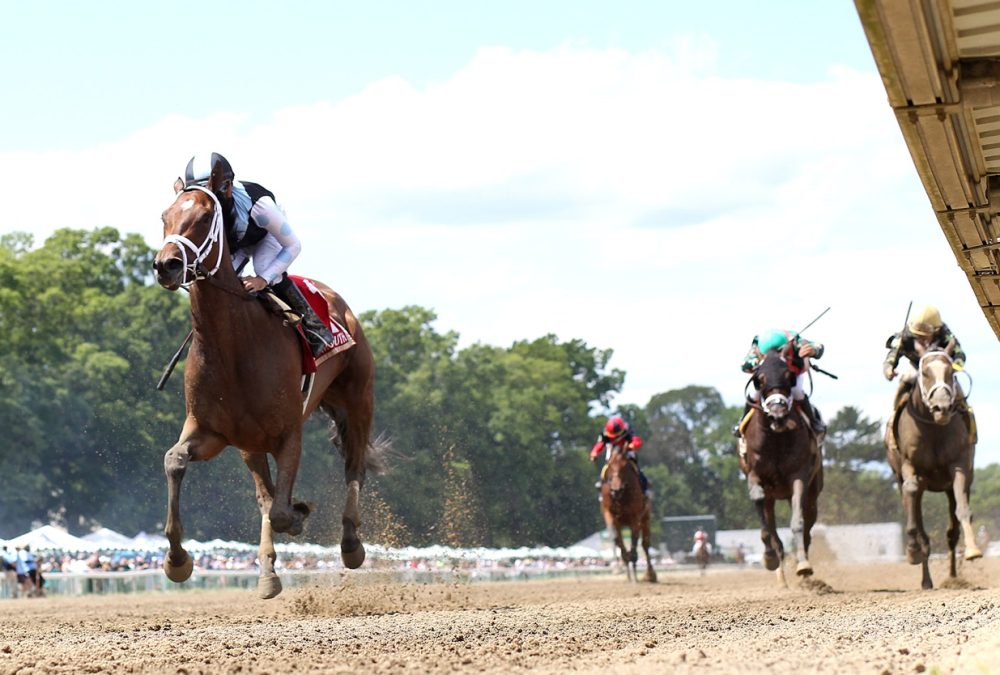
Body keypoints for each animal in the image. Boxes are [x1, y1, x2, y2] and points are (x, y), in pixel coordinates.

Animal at [152, 170, 382, 604]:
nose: (166, 265)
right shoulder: (211, 432)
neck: (234, 346)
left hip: (358, 399)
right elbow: (175, 461)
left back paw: (350, 544)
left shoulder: (288, 433)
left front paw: (297, 516)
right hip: (250, 444)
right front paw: (177, 561)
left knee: (354, 466)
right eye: (165, 216)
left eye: (205, 218)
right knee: (265, 493)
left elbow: (278, 508)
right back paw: (268, 571)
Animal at [600, 446, 656, 584]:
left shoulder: (635, 517)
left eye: (625, 467)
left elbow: (635, 541)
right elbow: (616, 538)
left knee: (645, 544)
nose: (616, 490)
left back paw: (650, 575)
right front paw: (622, 567)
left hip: (646, 517)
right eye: (610, 466)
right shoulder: (610, 514)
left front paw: (635, 572)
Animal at [740, 348, 824, 588]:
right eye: (759, 380)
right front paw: (769, 557)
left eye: (790, 377)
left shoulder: (799, 477)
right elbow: (765, 523)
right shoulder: (755, 474)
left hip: (813, 492)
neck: (775, 440)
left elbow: (798, 522)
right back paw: (781, 576)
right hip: (772, 496)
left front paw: (803, 565)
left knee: (808, 527)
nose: (777, 414)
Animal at [888, 340, 980, 588]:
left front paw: (973, 549)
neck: (933, 428)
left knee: (951, 534)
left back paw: (952, 577)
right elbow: (911, 490)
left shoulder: (959, 466)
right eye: (925, 373)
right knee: (917, 518)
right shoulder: (909, 466)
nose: (942, 407)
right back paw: (925, 577)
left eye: (951, 372)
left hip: (948, 487)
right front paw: (912, 551)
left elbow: (963, 510)